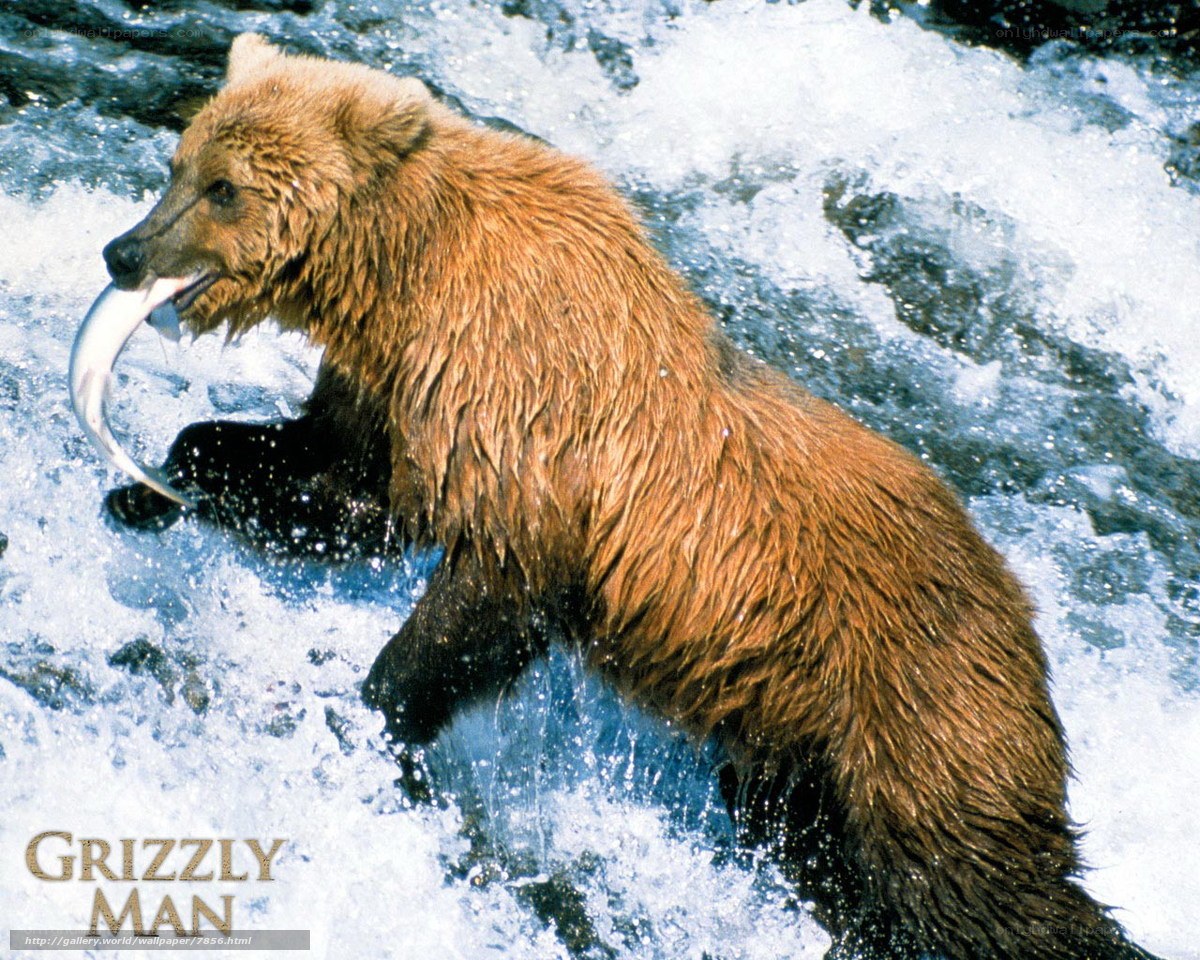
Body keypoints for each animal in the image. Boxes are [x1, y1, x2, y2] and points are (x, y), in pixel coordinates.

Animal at [97, 34, 1163, 960]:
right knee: (825, 857)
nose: (123, 251)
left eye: (224, 188)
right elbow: (340, 490)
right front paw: (151, 485)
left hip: (917, 704)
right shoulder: (404, 393)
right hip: (804, 755)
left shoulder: (523, 417)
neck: (403, 276)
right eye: (179, 163)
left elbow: (474, 607)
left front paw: (377, 715)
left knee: (978, 883)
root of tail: (1025, 607)